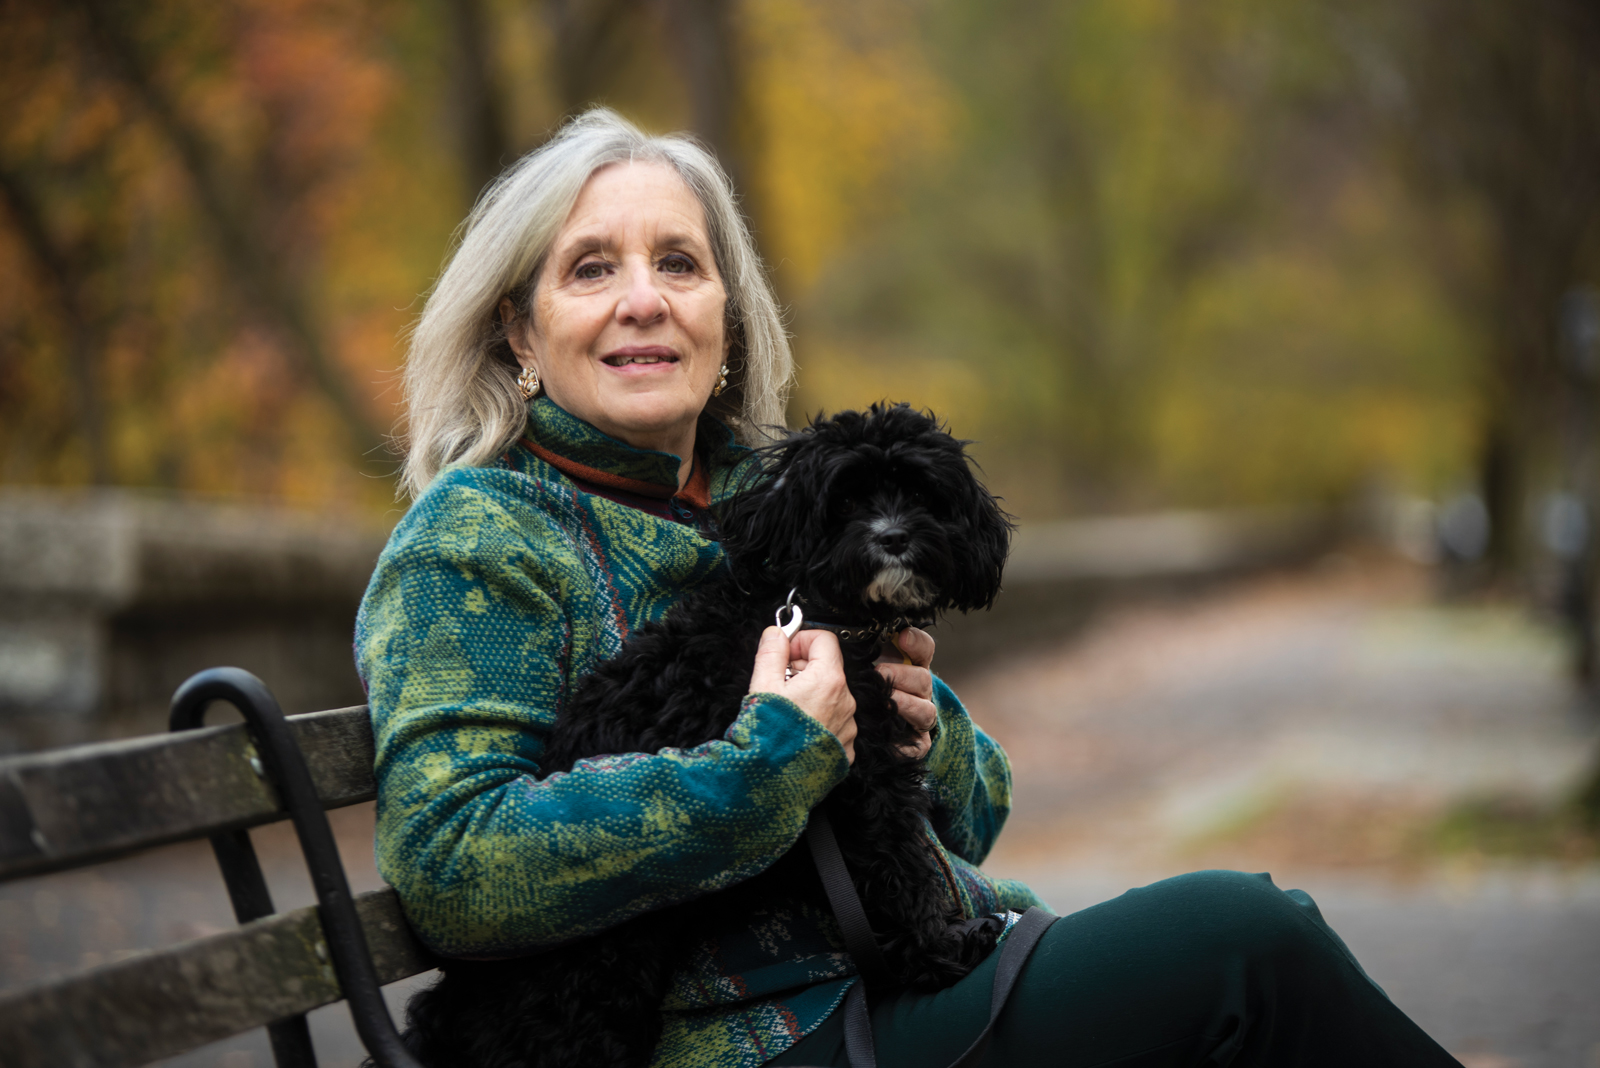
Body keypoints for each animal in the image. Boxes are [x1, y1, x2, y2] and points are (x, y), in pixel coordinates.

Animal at [403, 404, 1011, 1068]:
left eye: (921, 494)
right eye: (845, 501)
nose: (893, 536)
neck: (824, 615)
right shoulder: (862, 782)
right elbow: (902, 870)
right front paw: (943, 949)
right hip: (591, 989)